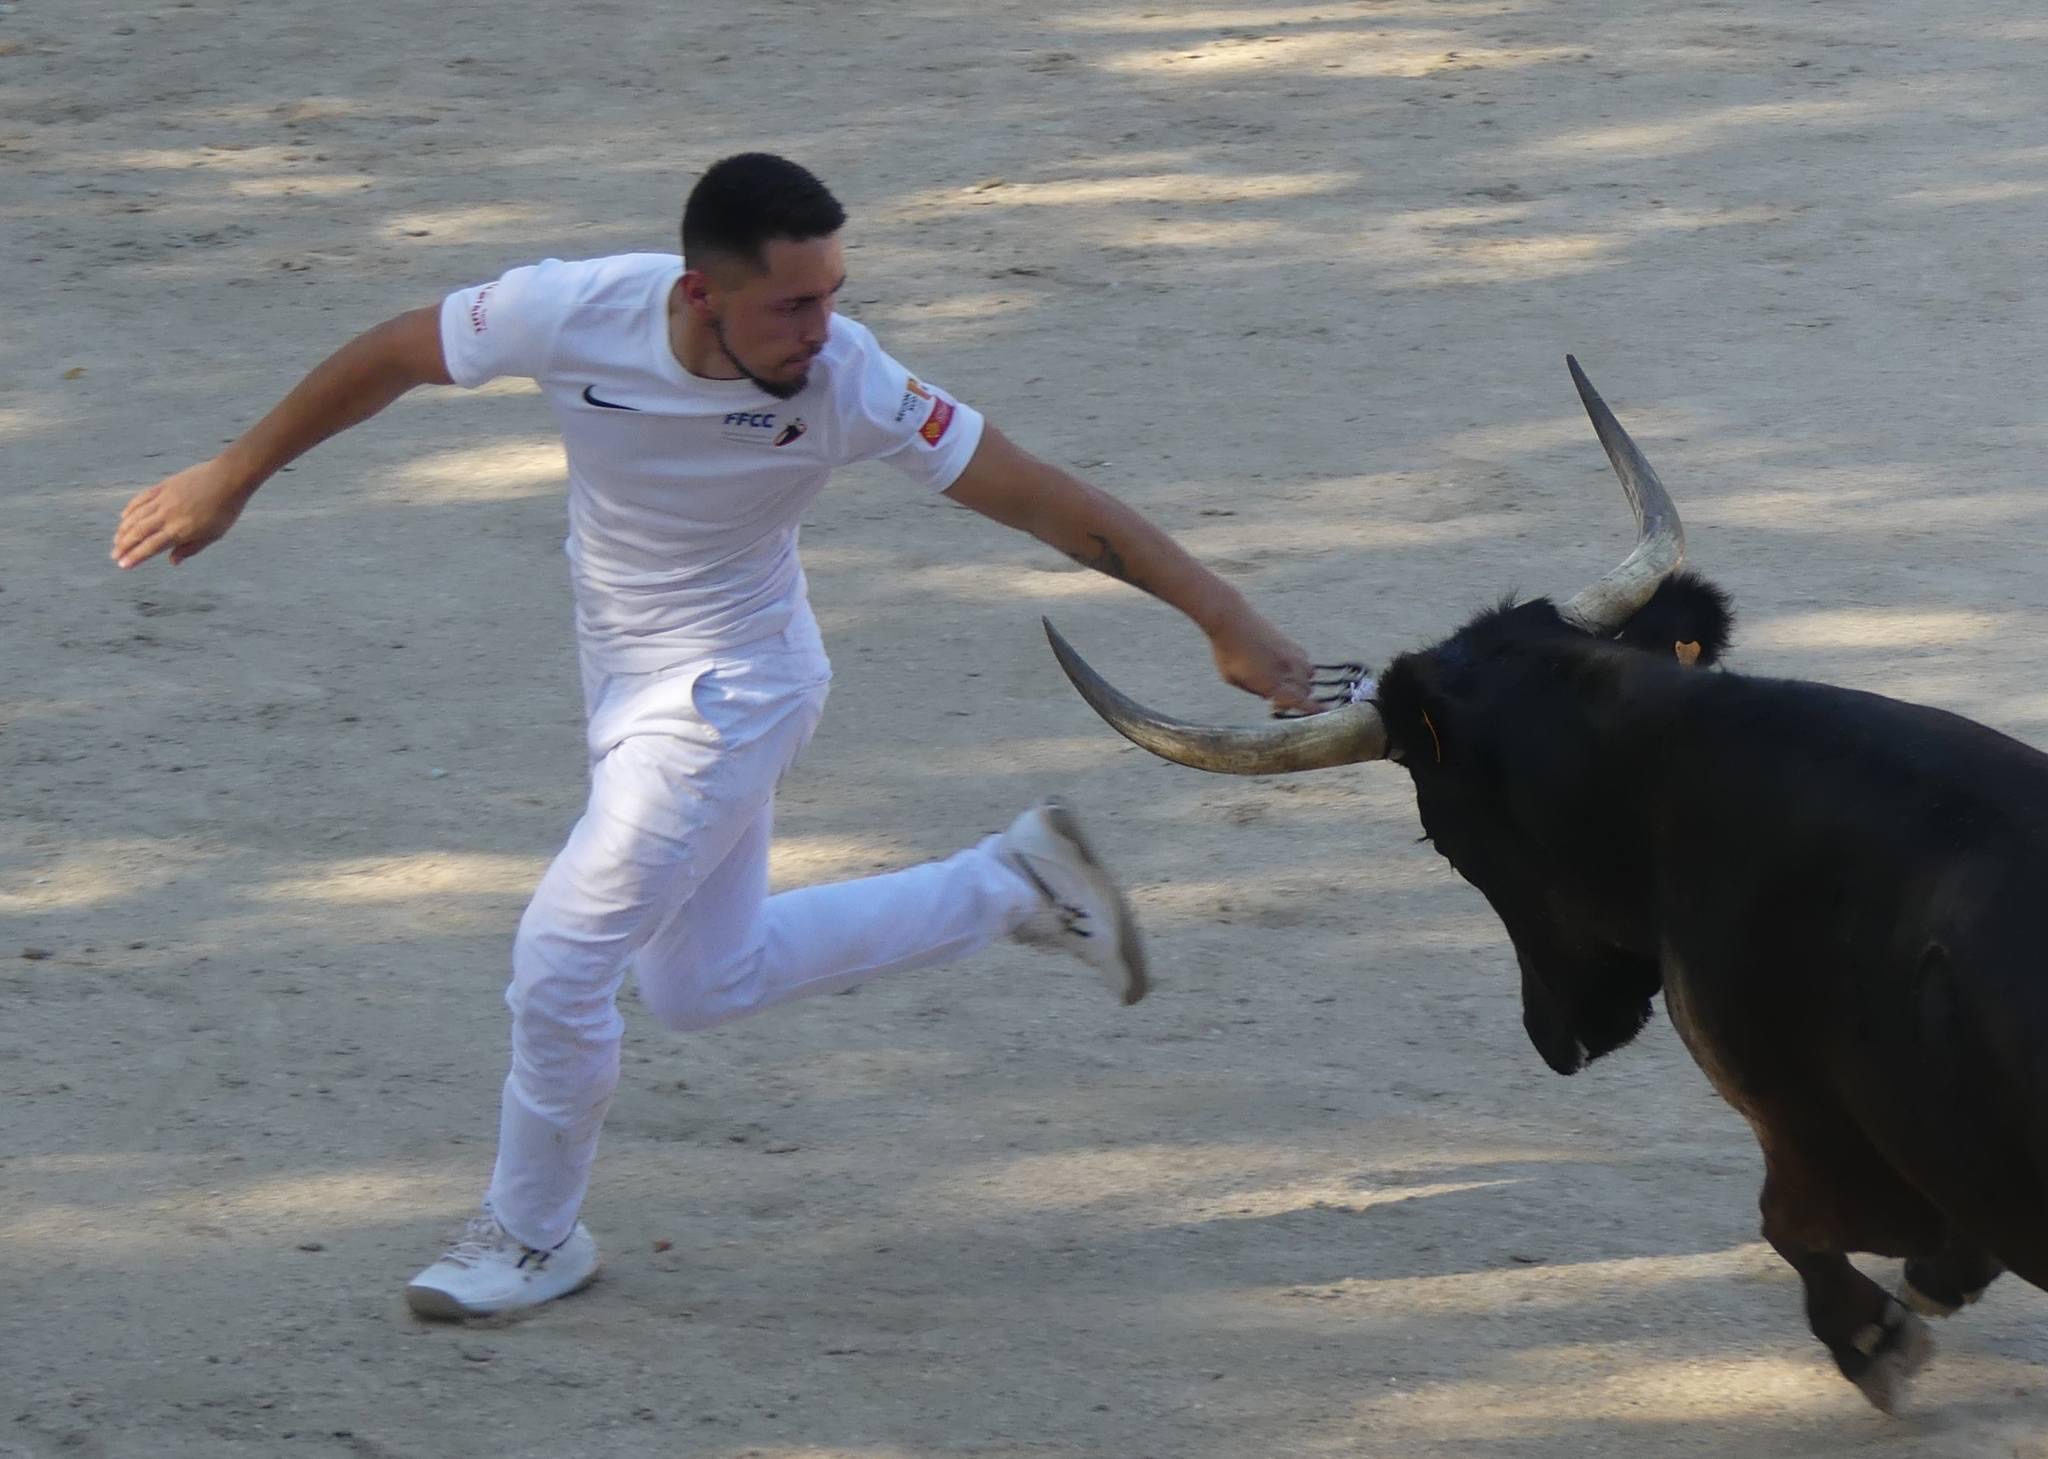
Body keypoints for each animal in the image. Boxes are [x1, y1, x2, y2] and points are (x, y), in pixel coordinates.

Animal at [1042, 358, 2048, 1413]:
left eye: (1441, 837)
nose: (1551, 1035)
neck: (1669, 771)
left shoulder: (1820, 1147)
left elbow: (1789, 1225)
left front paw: (1872, 1336)